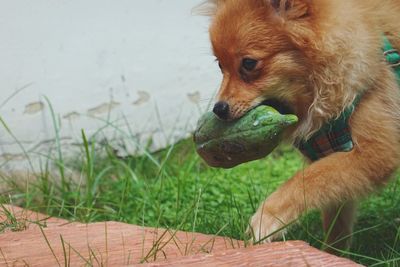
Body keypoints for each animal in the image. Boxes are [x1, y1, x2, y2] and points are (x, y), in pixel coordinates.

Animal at [200, 0, 400, 251]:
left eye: (248, 64)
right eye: (220, 65)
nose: (219, 108)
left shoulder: (376, 154)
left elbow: (306, 180)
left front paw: (268, 217)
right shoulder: (334, 155)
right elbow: (336, 218)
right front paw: (332, 253)